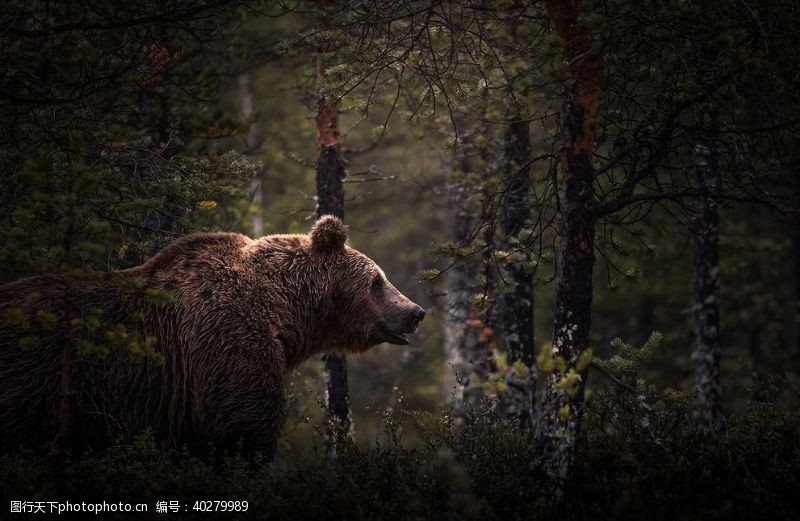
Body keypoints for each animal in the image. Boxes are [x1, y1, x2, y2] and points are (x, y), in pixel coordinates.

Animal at [0, 215, 424, 456]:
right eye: (377, 281)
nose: (415, 312)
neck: (285, 313)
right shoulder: (224, 340)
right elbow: (242, 428)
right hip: (35, 376)